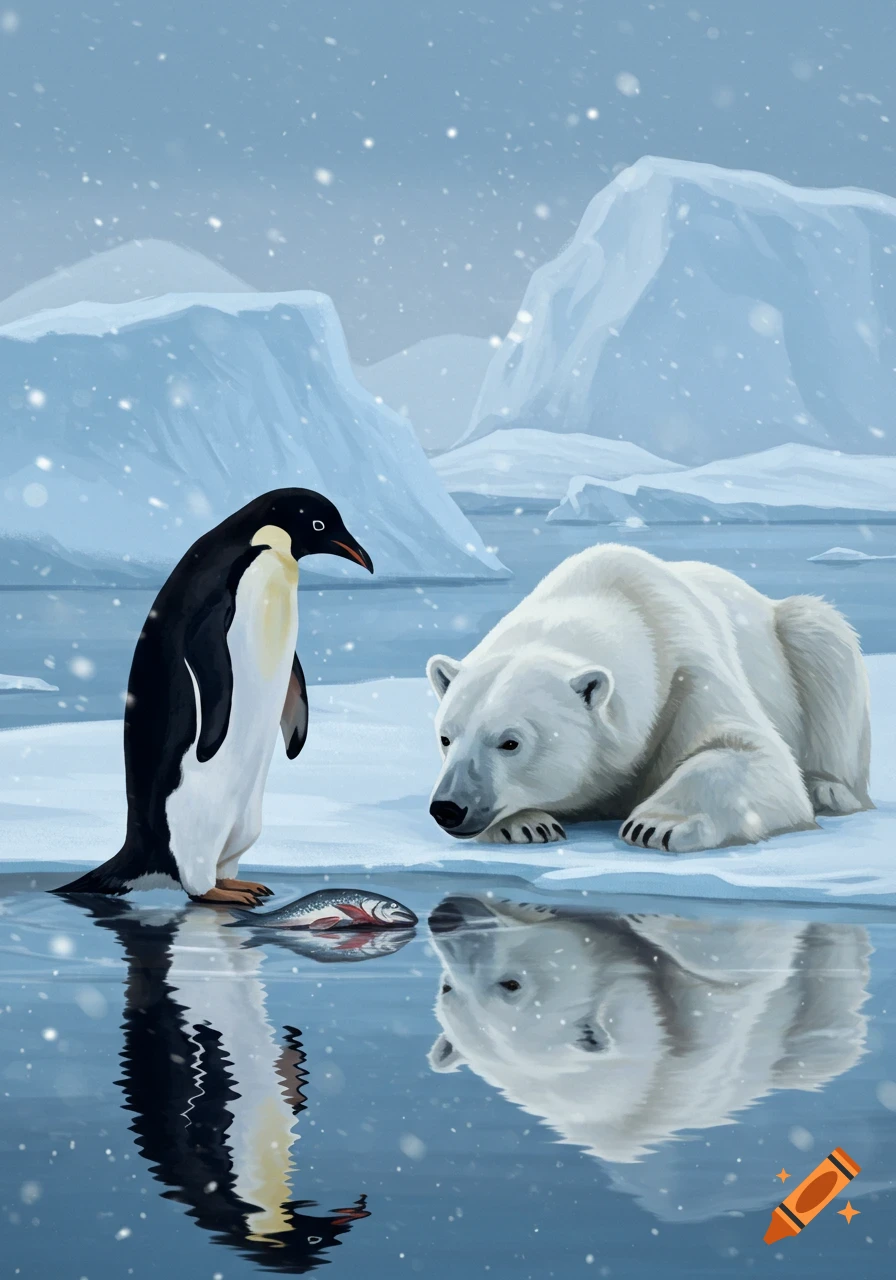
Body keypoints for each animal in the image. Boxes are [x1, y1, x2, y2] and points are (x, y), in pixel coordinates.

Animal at [426, 543, 871, 853]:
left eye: (510, 742)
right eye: (446, 737)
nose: (448, 806)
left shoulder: (689, 671)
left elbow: (749, 751)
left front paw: (656, 824)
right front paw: (526, 824)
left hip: (799, 642)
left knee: (822, 639)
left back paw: (829, 789)